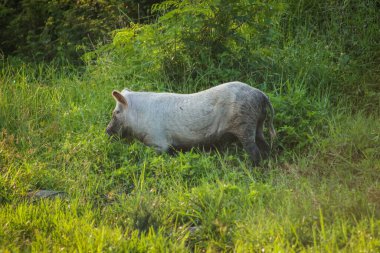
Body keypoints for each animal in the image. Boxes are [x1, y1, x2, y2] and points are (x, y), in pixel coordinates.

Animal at [105, 80, 274, 164]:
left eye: (116, 112)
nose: (106, 131)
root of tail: (261, 94)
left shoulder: (158, 142)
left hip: (245, 123)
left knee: (254, 151)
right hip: (258, 123)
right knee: (264, 144)